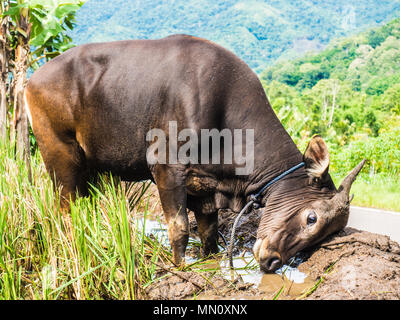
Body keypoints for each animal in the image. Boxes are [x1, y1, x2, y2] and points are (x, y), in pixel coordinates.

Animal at [23, 35, 364, 272]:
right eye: (311, 217)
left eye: (324, 236)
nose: (272, 262)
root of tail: (32, 79)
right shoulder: (166, 167)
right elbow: (179, 228)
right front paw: (179, 266)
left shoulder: (205, 186)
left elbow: (208, 230)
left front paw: (209, 258)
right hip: (61, 159)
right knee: (65, 211)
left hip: (91, 169)